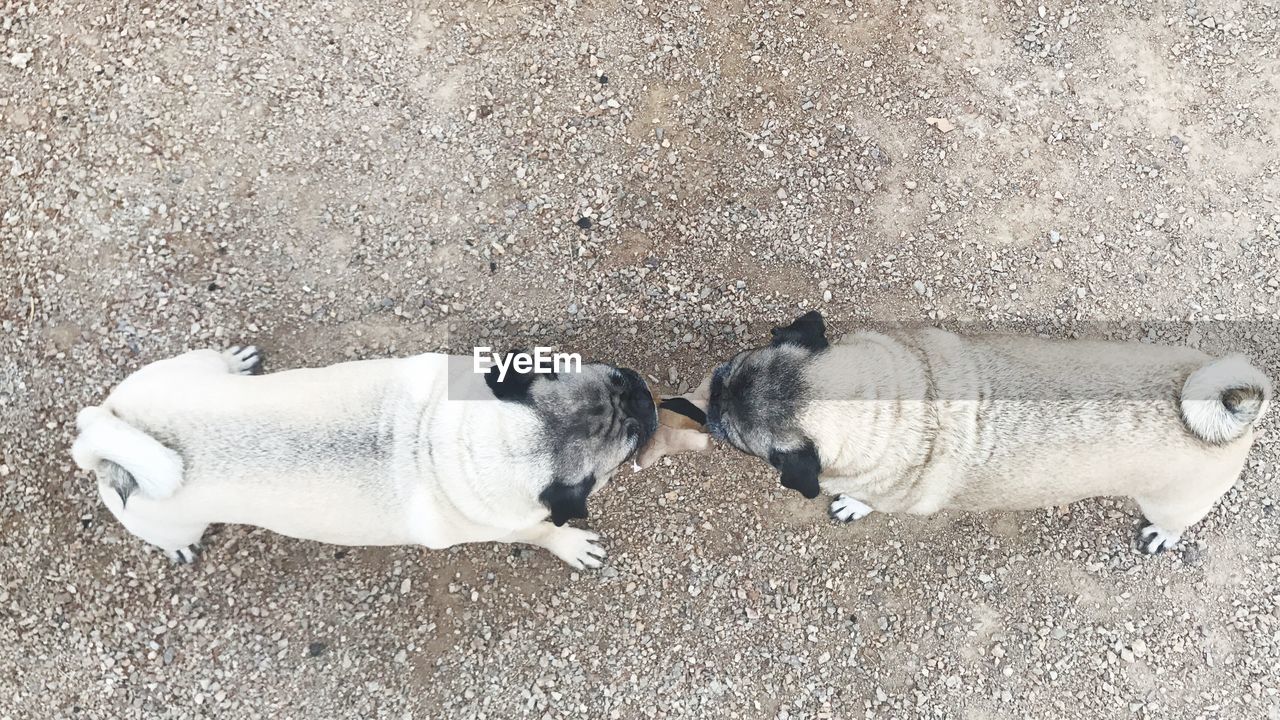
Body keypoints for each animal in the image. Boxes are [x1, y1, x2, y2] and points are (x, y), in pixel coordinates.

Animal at [67, 343, 660, 566]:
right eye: (631, 436)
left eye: (617, 378)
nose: (642, 394)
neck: (448, 442)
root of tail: (106, 430)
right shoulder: (512, 521)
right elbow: (543, 532)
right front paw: (569, 543)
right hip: (167, 518)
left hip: (183, 368)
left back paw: (235, 362)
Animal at [711, 311, 1269, 550]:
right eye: (733, 364)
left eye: (739, 439)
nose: (712, 396)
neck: (900, 402)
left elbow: (864, 498)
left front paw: (852, 504)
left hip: (1171, 502)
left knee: (1175, 523)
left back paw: (1162, 536)